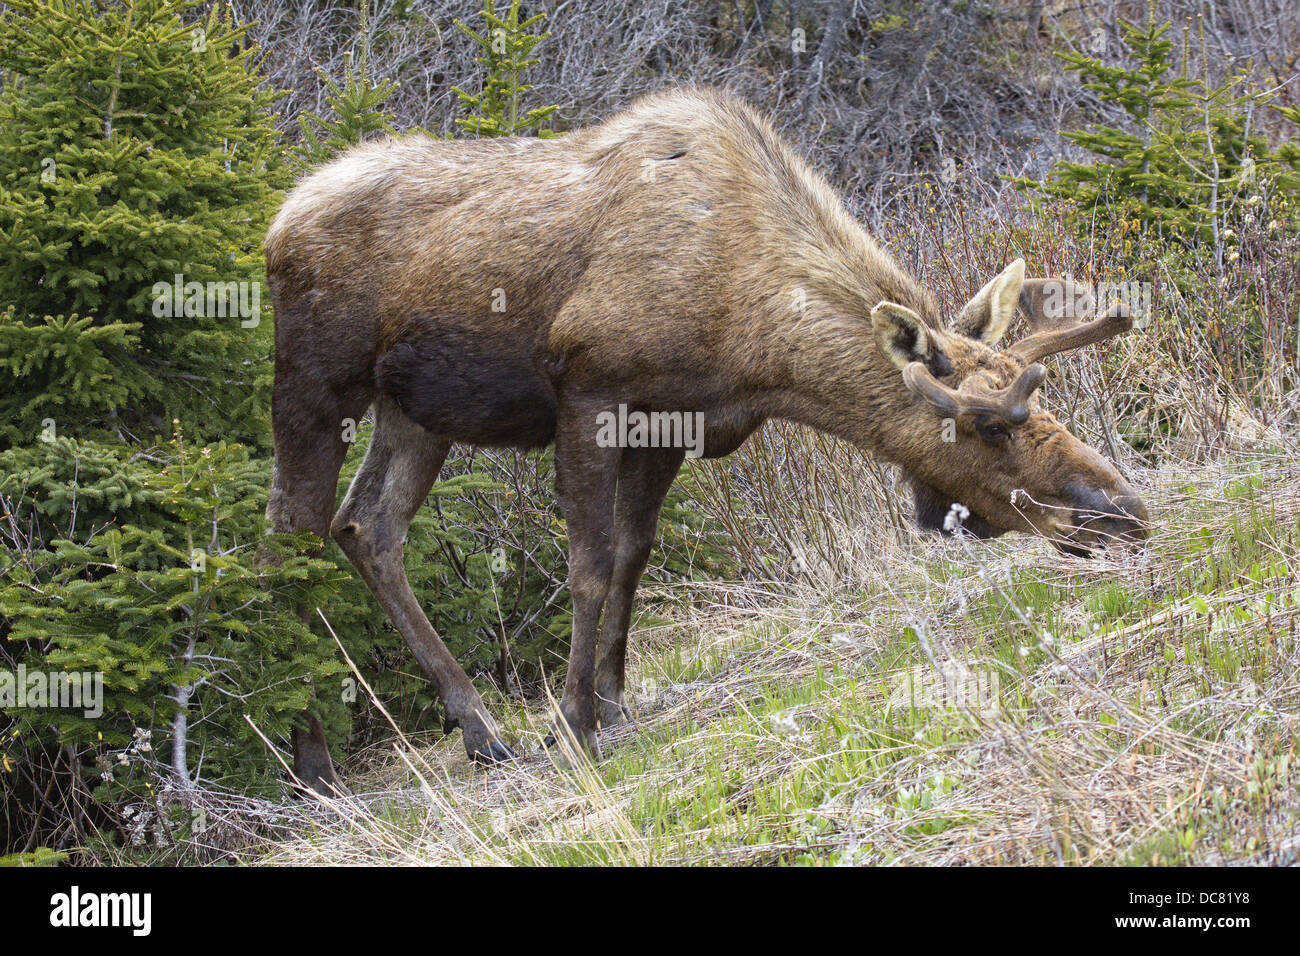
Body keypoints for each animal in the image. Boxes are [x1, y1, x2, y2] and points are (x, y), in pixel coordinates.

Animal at [266, 85, 1149, 790]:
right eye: (988, 425)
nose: (1122, 512)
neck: (752, 341)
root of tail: (275, 225)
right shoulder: (589, 389)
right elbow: (587, 566)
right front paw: (572, 724)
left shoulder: (669, 424)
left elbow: (631, 560)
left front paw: (614, 704)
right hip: (315, 383)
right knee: (289, 537)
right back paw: (313, 764)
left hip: (414, 410)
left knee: (367, 526)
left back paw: (480, 731)